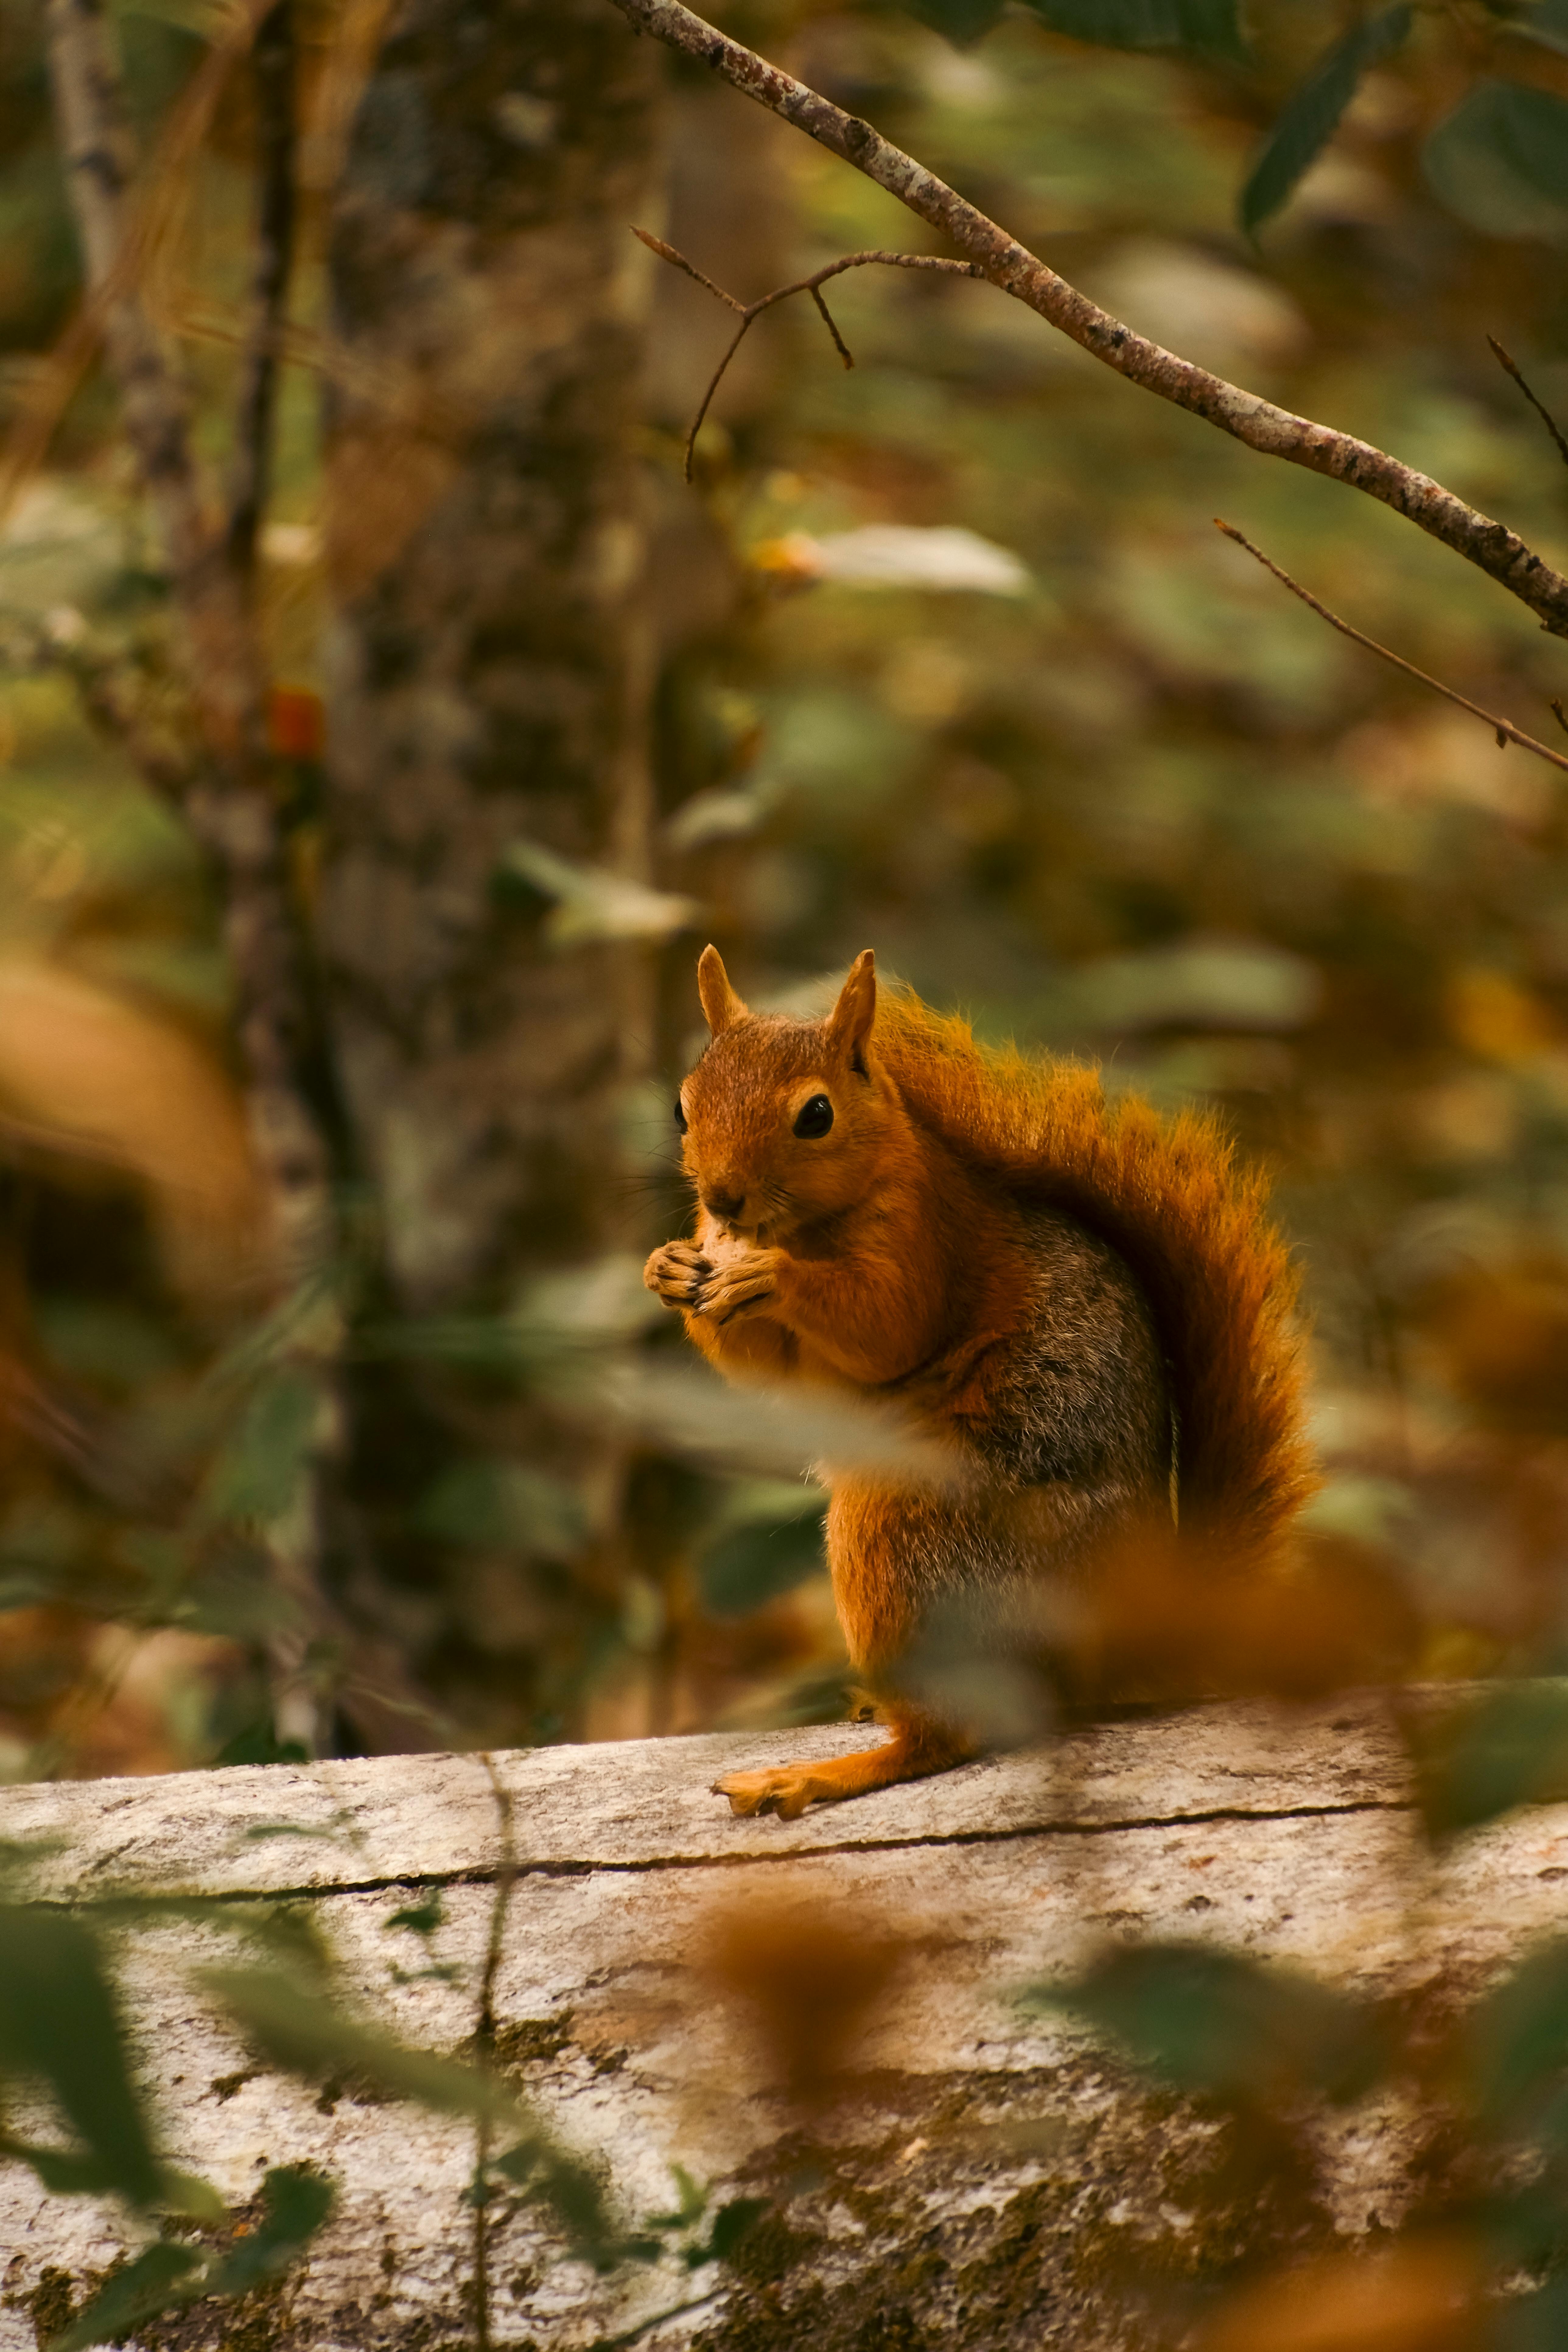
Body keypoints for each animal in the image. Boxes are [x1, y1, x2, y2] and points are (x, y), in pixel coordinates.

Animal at [644, 945, 1315, 1820]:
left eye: (816, 1115)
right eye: (682, 1108)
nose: (722, 1197)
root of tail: (1116, 1644)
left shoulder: (925, 1241)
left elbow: (884, 1326)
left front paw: (774, 1276)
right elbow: (755, 1360)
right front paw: (666, 1268)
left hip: (910, 1534)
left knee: (947, 1738)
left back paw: (824, 1772)